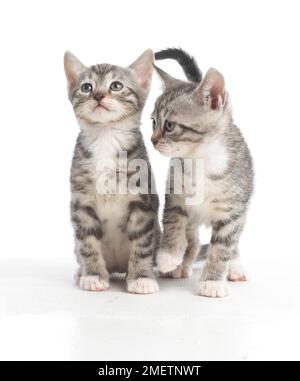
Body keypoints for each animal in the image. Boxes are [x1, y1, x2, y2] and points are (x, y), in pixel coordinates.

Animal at [64, 49, 161, 294]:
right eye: (86, 87)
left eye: (116, 86)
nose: (98, 95)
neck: (106, 138)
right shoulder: (81, 204)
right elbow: (87, 243)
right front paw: (93, 276)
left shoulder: (142, 204)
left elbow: (142, 244)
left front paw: (142, 278)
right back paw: (81, 272)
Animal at [152, 48, 253, 296]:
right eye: (153, 122)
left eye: (169, 125)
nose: (152, 140)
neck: (201, 160)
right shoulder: (176, 196)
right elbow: (173, 224)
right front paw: (168, 257)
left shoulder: (232, 212)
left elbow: (223, 247)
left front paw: (213, 282)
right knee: (193, 241)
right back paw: (181, 264)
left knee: (234, 243)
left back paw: (236, 267)